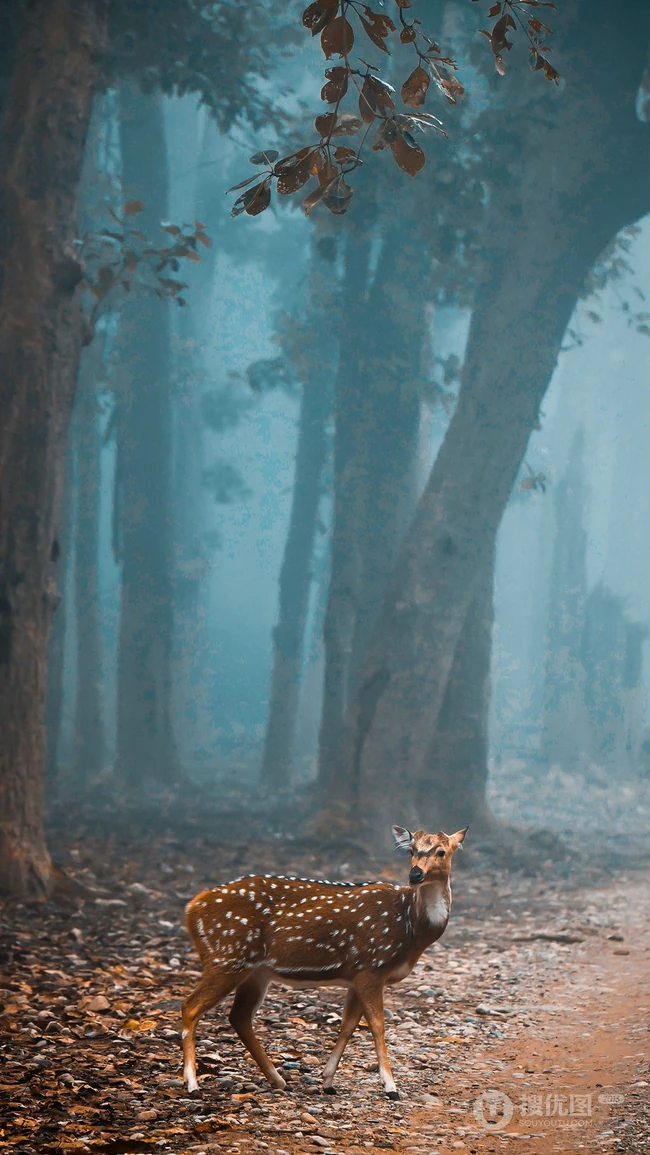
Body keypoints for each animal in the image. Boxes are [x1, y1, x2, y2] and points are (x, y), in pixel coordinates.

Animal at [182, 823, 467, 1099]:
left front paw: (328, 1081)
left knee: (239, 1016)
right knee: (191, 1006)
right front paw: (390, 1086)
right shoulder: (372, 966)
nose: (415, 875)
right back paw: (193, 1084)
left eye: (441, 851)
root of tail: (192, 907)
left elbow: (347, 1025)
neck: (411, 929)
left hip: (254, 972)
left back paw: (278, 1080)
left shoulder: (356, 975)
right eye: (411, 850)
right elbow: (377, 1025)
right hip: (227, 957)